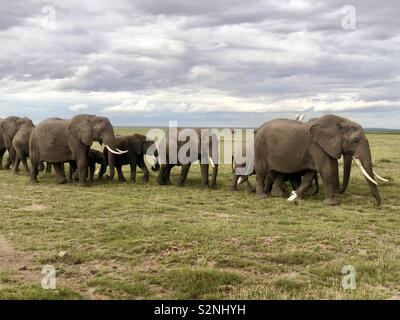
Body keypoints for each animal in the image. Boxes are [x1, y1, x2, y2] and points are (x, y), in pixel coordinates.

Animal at [255, 114, 386, 205]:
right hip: (260, 146)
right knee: (261, 171)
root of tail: (258, 128)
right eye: (355, 141)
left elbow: (310, 174)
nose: (377, 204)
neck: (340, 121)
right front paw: (332, 204)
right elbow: (326, 170)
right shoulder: (316, 146)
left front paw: (294, 196)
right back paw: (262, 196)